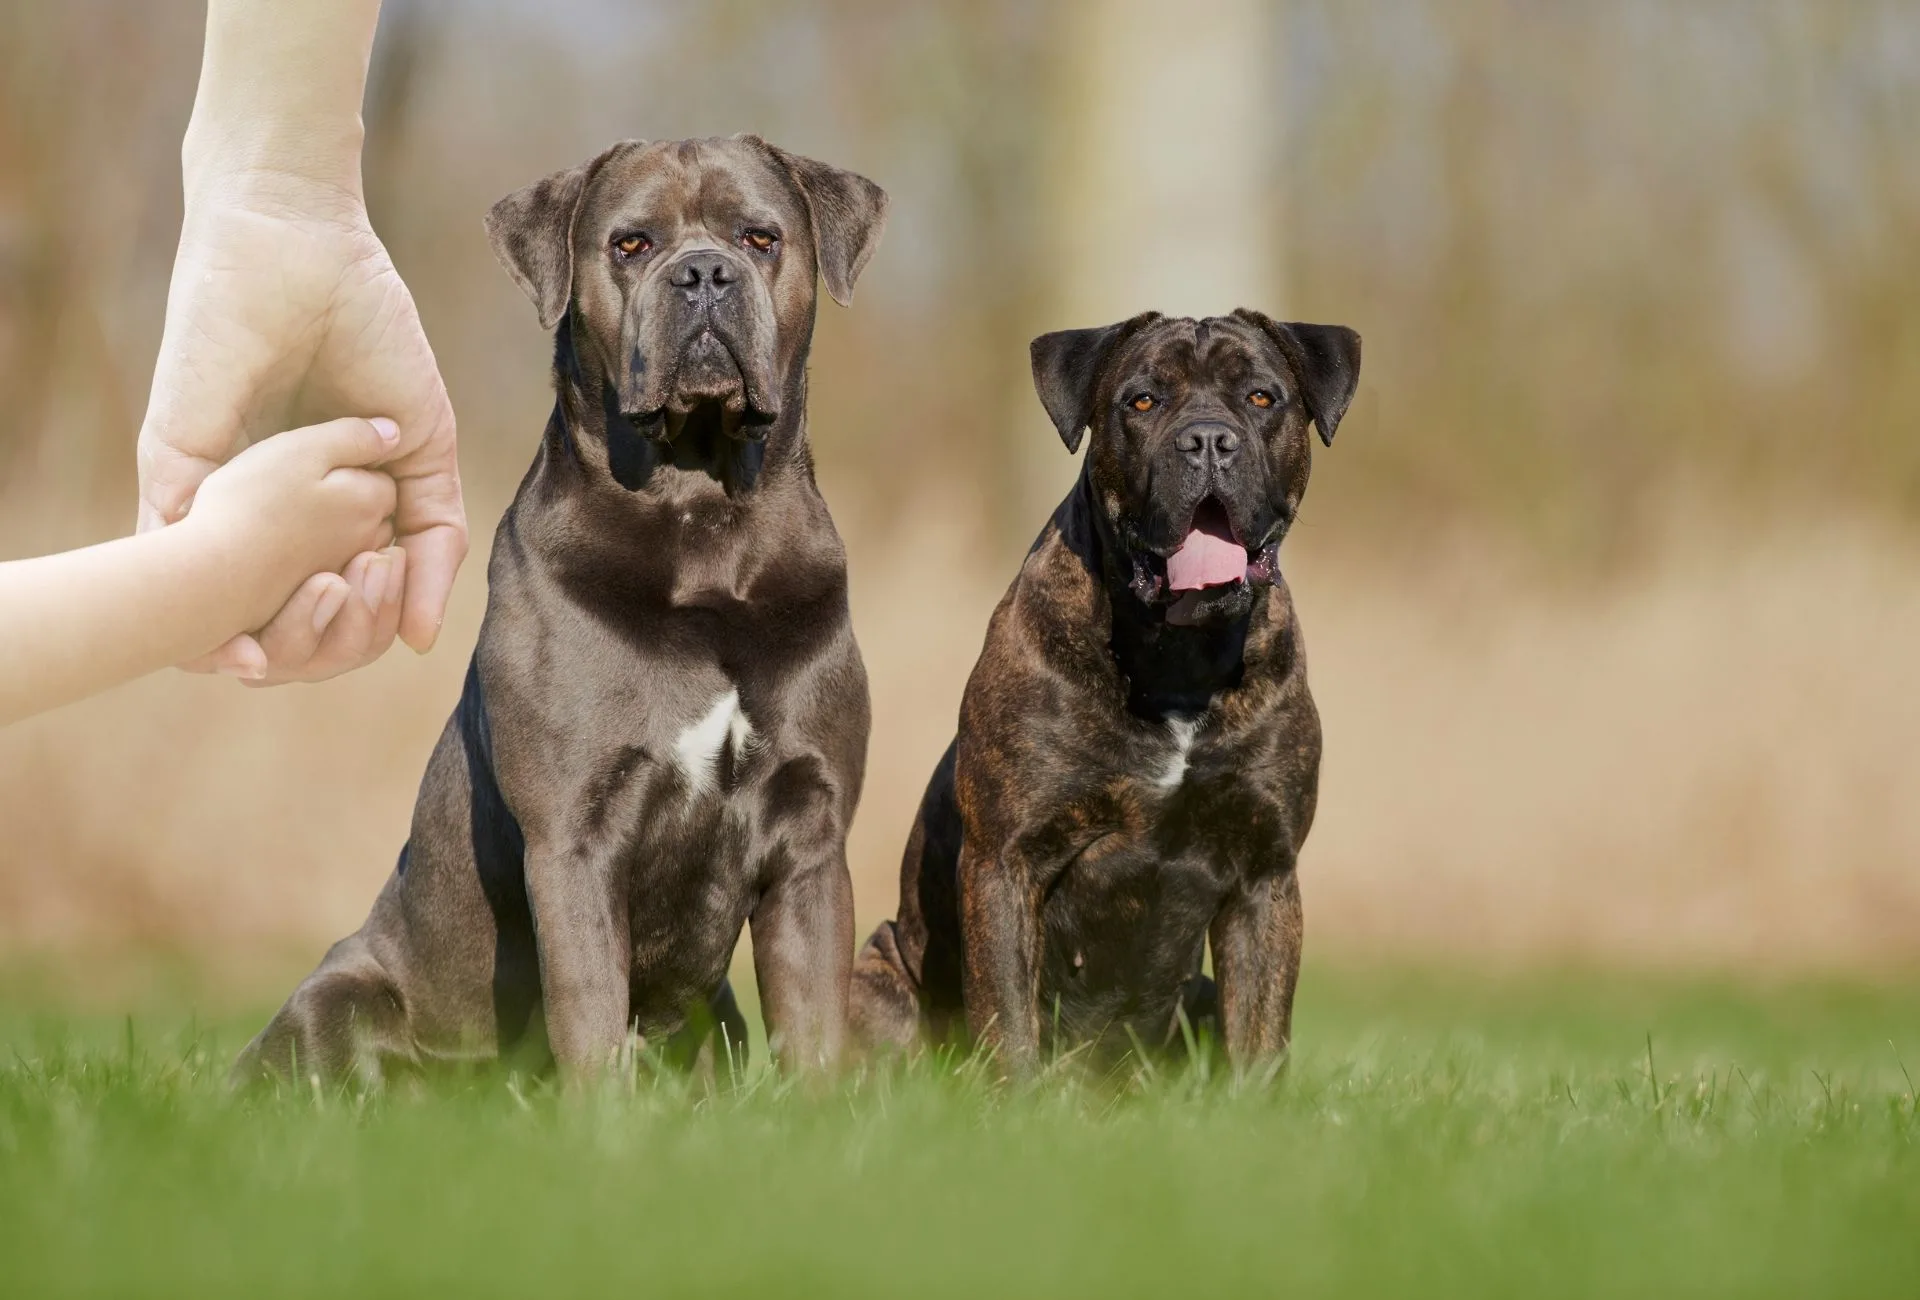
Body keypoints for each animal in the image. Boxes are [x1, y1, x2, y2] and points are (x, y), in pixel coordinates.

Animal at [232, 134, 883, 1083]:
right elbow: (590, 1010)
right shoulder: (575, 833)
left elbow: (814, 1023)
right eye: (631, 243)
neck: (703, 517)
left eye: (760, 237)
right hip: (338, 998)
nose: (705, 275)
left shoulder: (812, 838)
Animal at [848, 311, 1359, 1075]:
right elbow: (1009, 1019)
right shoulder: (1006, 862)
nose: (1208, 440)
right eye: (1141, 401)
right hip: (874, 975)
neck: (1178, 658)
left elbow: (1260, 1036)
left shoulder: (1266, 874)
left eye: (1262, 397)